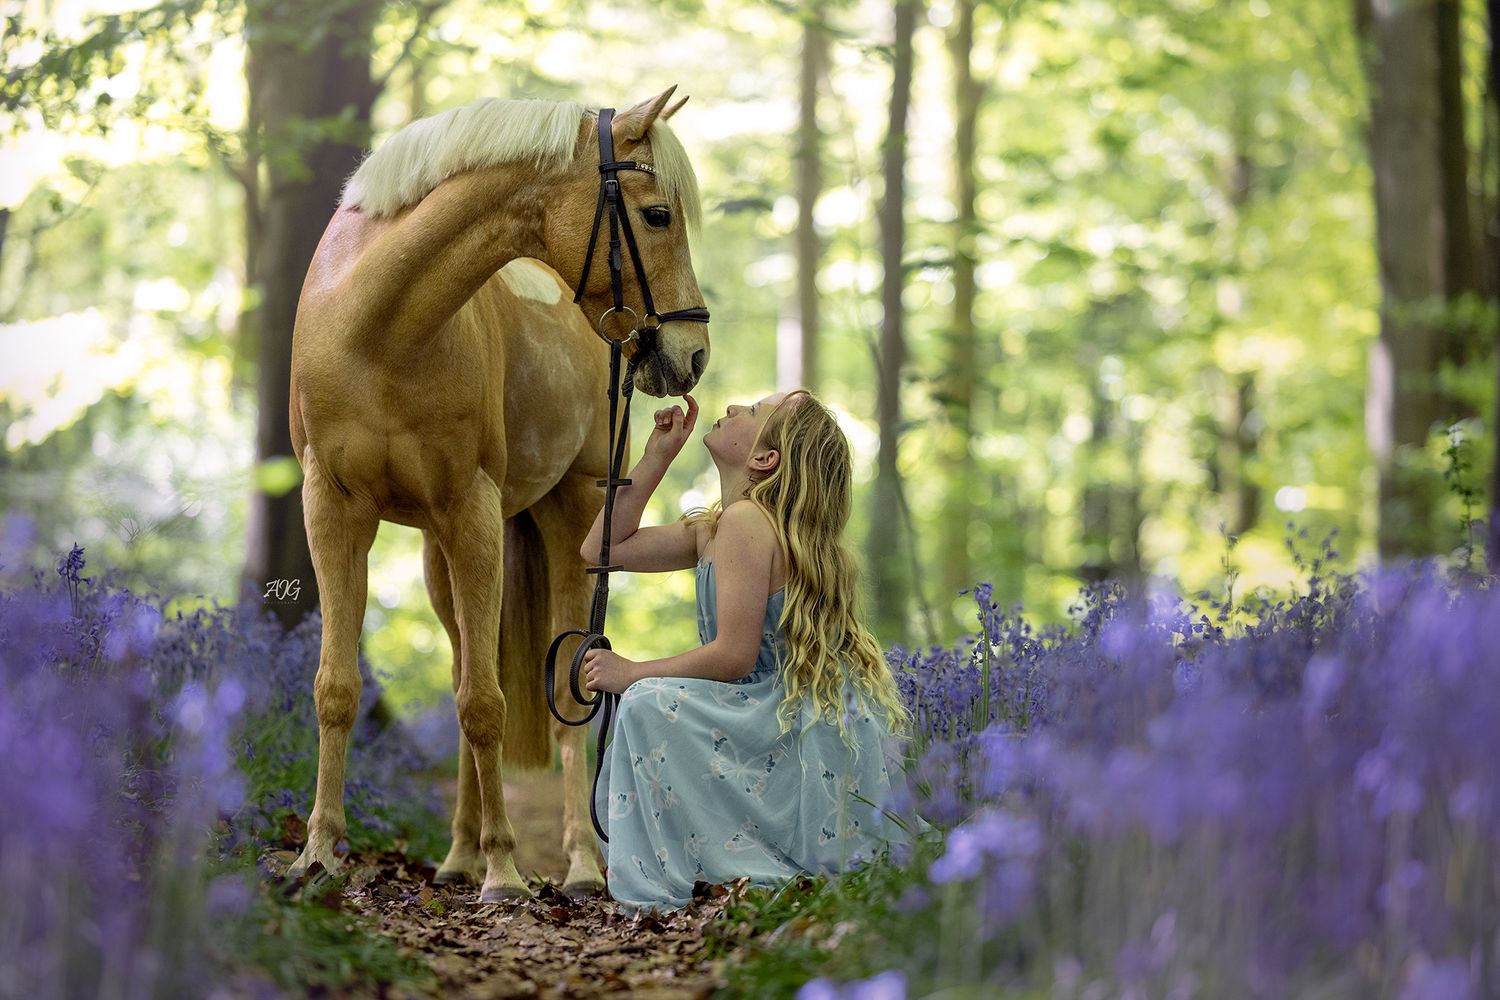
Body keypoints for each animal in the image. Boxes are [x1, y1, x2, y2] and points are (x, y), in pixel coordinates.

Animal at [285, 87, 709, 902]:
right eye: (656, 215)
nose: (694, 354)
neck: (378, 330)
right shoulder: (332, 511)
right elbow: (338, 688)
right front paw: (318, 855)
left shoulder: (471, 510)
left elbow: (487, 702)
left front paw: (507, 872)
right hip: (436, 555)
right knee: (461, 672)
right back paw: (457, 856)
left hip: (573, 521)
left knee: (568, 695)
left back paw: (579, 865)